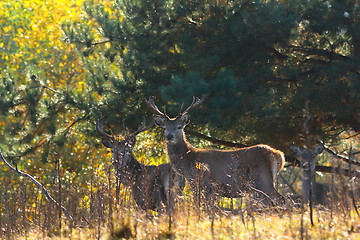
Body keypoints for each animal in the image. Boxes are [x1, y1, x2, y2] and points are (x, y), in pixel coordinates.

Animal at [145, 96, 286, 205]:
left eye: (179, 127)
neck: (188, 162)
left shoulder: (202, 183)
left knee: (281, 199)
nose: (170, 136)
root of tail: (277, 155)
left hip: (262, 178)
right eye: (164, 128)